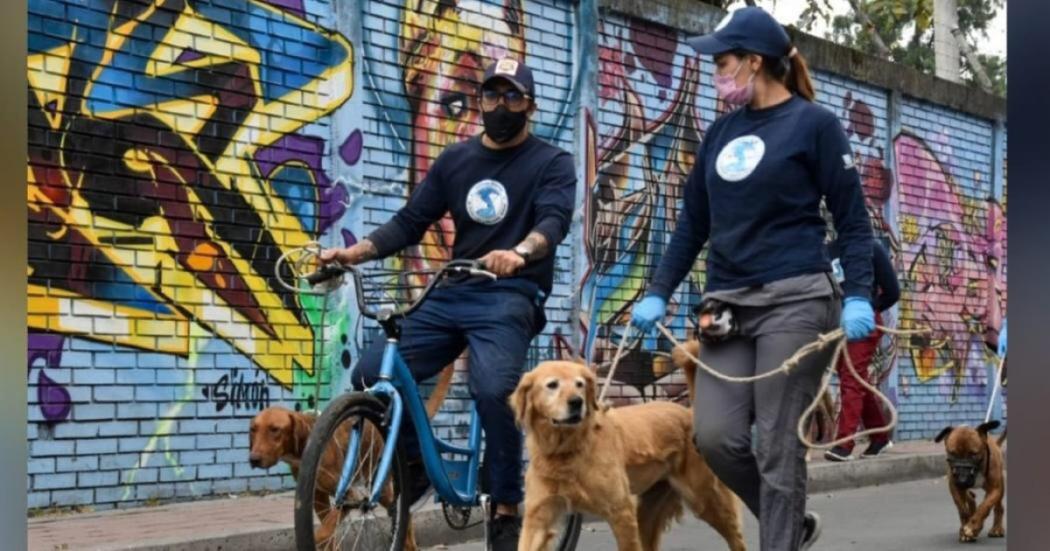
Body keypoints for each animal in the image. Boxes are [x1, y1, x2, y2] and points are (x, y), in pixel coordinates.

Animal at [249, 363, 455, 545]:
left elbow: (324, 533)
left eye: (275, 429)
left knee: (403, 514)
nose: (253, 459)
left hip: (382, 488)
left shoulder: (348, 495)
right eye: (253, 429)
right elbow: (329, 535)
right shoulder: (318, 498)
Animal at [510, 361, 747, 549]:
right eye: (552, 384)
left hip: (704, 498)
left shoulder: (621, 511)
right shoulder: (537, 517)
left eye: (580, 384)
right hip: (648, 513)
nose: (577, 402)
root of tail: (688, 412)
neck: (566, 450)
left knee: (736, 538)